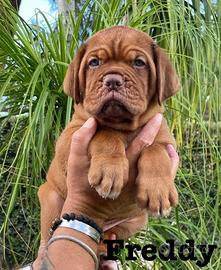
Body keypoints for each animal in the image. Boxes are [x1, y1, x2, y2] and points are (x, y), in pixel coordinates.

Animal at [37, 25, 179, 266]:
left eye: (139, 63)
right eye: (94, 62)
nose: (113, 80)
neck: (124, 126)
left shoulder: (167, 141)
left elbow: (154, 149)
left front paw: (158, 189)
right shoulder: (70, 136)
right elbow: (105, 132)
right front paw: (109, 170)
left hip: (136, 220)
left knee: (110, 235)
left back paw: (104, 248)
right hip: (49, 197)